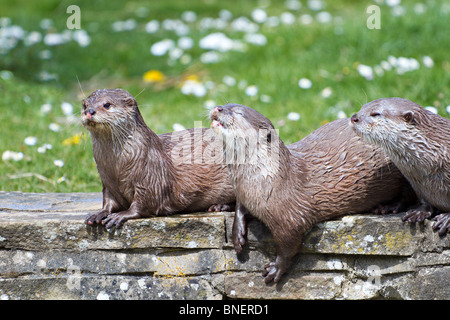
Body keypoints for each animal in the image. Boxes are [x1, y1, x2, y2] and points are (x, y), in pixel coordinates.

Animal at [81, 89, 236, 229]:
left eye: (107, 104)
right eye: (84, 105)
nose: (89, 111)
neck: (116, 167)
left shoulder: (151, 174)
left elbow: (146, 201)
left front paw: (122, 215)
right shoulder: (107, 182)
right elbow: (108, 200)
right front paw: (99, 214)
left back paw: (219, 205)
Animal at [209, 103, 414, 282]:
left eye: (238, 113)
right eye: (226, 104)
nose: (218, 108)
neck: (268, 181)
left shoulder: (291, 218)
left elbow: (288, 246)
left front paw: (276, 268)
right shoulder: (244, 194)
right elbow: (240, 207)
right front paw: (237, 234)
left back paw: (388, 207)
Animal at [352, 97, 450, 235]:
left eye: (375, 114)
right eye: (362, 108)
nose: (354, 117)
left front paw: (447, 218)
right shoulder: (417, 184)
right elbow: (424, 200)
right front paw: (418, 212)